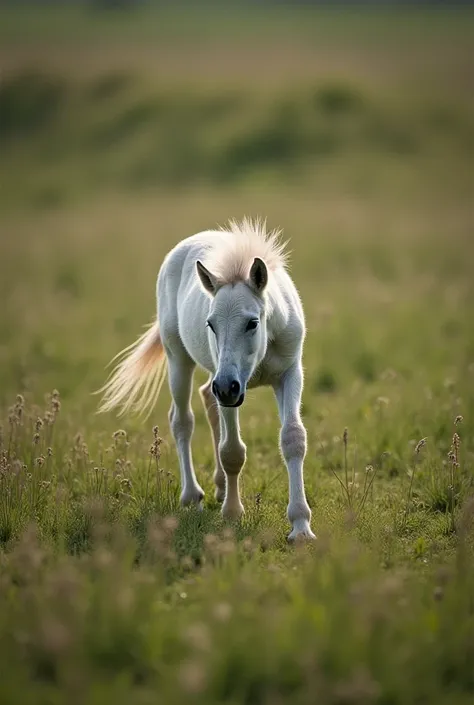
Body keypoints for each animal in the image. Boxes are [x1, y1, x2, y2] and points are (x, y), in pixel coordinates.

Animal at [99, 219, 314, 540]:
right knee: (182, 419)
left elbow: (293, 438)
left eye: (252, 322)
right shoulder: (230, 389)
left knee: (207, 399)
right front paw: (233, 513)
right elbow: (232, 451)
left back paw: (220, 487)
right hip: (181, 360)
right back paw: (193, 497)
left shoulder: (288, 374)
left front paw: (300, 527)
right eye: (210, 324)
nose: (227, 387)